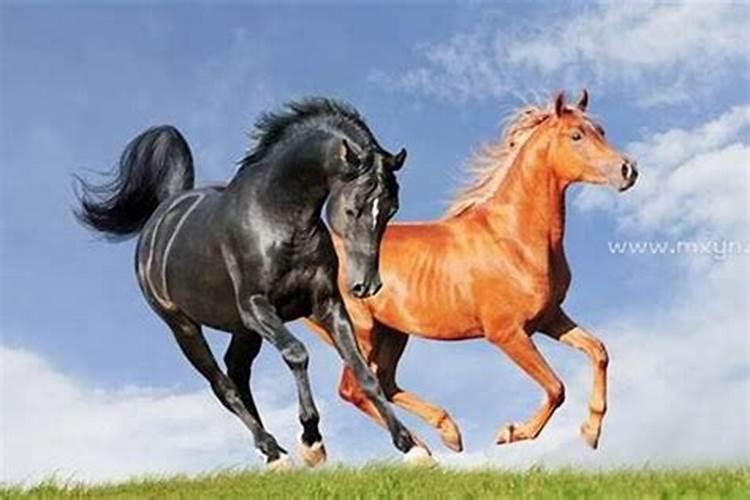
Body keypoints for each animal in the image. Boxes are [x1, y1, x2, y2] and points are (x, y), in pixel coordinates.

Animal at [73, 98, 435, 469]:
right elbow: (296, 353)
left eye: (391, 209)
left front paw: (411, 446)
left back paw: (275, 454)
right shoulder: (256, 306)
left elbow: (365, 372)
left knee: (236, 372)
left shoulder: (327, 305)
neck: (279, 217)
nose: (366, 285)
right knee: (223, 385)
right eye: (354, 208)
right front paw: (312, 443)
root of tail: (163, 215)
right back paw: (273, 451)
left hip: (242, 330)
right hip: (184, 327)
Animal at [304, 90, 638, 456]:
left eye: (601, 131)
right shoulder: (506, 333)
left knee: (384, 383)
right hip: (360, 332)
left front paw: (591, 431)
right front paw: (510, 432)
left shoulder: (549, 317)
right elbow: (556, 388)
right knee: (356, 389)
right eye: (576, 135)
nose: (628, 170)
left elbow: (598, 351)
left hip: (392, 333)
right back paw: (418, 447)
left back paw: (444, 435)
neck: (513, 239)